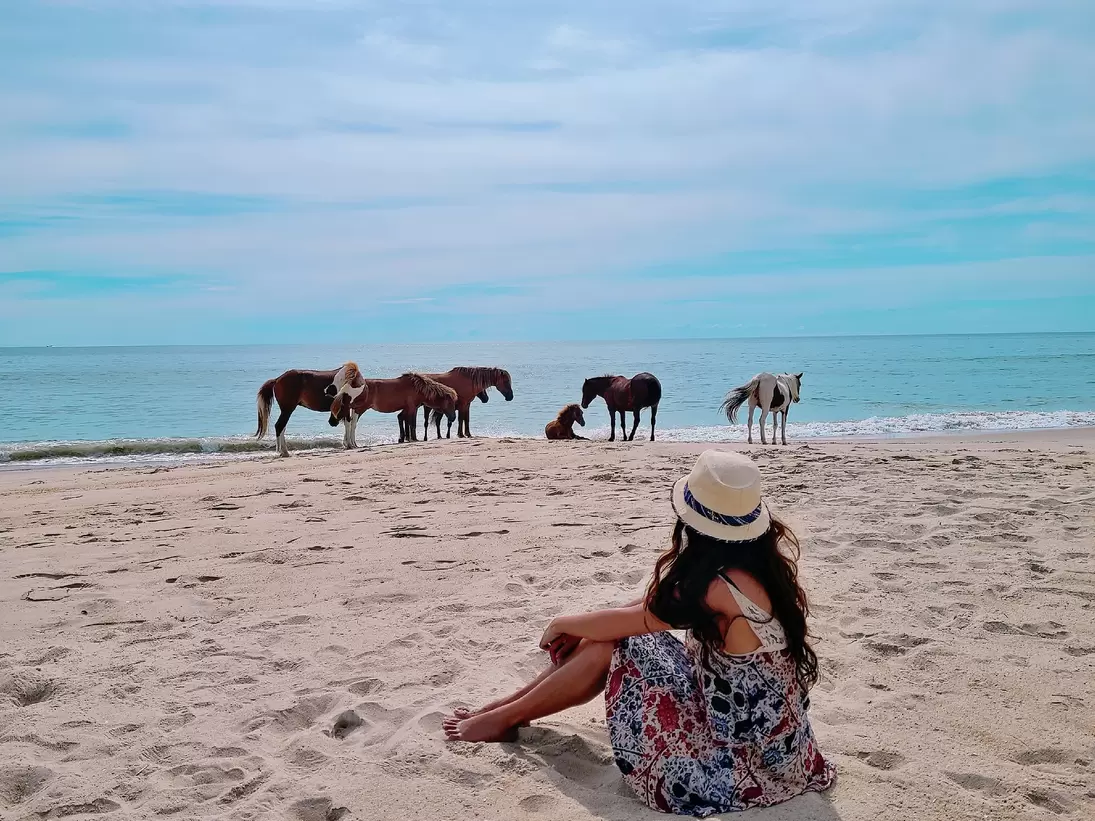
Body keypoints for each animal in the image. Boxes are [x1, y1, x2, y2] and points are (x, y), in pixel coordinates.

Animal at [328, 371, 458, 445]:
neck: (417, 388)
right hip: (359, 409)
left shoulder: (408, 408)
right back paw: (352, 444)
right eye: (449, 403)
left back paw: (350, 444)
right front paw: (412, 438)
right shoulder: (412, 408)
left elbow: (404, 420)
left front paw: (405, 438)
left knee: (349, 423)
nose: (453, 417)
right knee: (352, 424)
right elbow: (411, 423)